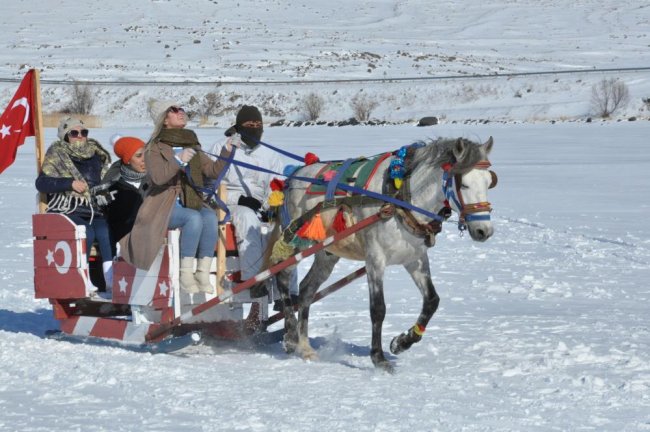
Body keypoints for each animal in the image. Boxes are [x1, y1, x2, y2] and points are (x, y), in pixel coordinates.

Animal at [268, 138, 496, 372]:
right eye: (464, 184)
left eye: (489, 182)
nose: (484, 231)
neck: (401, 198)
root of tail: (294, 176)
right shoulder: (375, 259)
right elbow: (378, 309)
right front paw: (378, 357)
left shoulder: (415, 259)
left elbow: (432, 300)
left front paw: (401, 342)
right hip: (297, 242)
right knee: (283, 277)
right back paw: (291, 337)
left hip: (327, 253)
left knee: (306, 290)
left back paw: (305, 346)